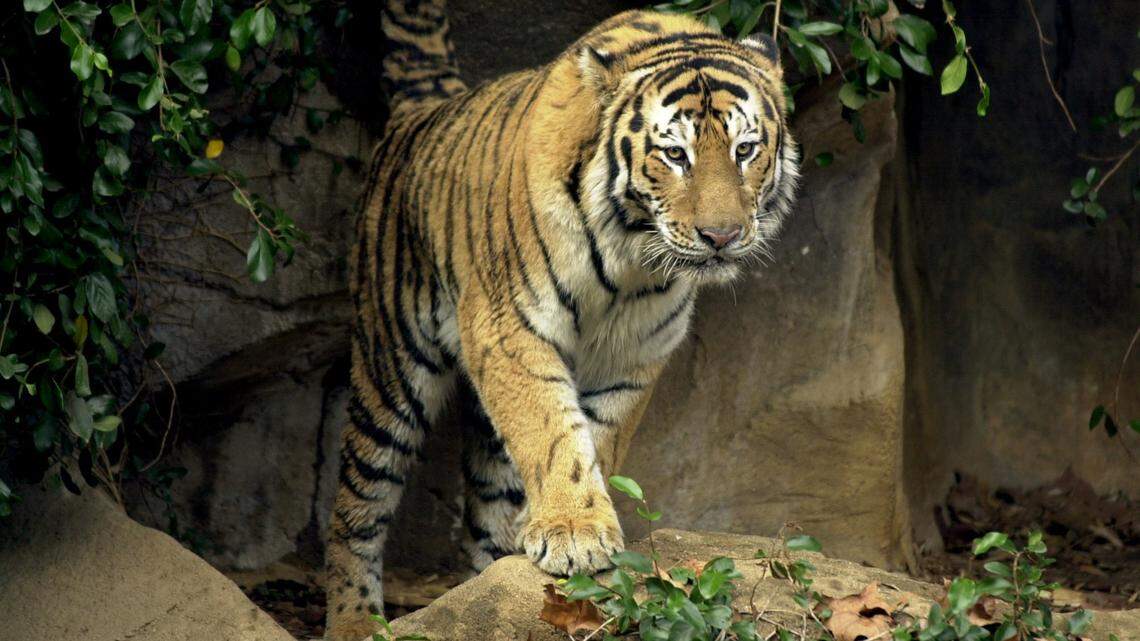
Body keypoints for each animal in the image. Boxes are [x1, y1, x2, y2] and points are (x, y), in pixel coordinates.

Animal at [324, 1, 800, 638]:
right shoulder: (509, 330)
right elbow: (552, 433)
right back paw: (355, 619)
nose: (721, 236)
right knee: (357, 507)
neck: (631, 259)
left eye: (746, 150)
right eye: (675, 155)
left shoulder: (634, 354)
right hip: (391, 367)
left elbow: (596, 438)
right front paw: (575, 532)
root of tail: (426, 109)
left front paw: (566, 530)